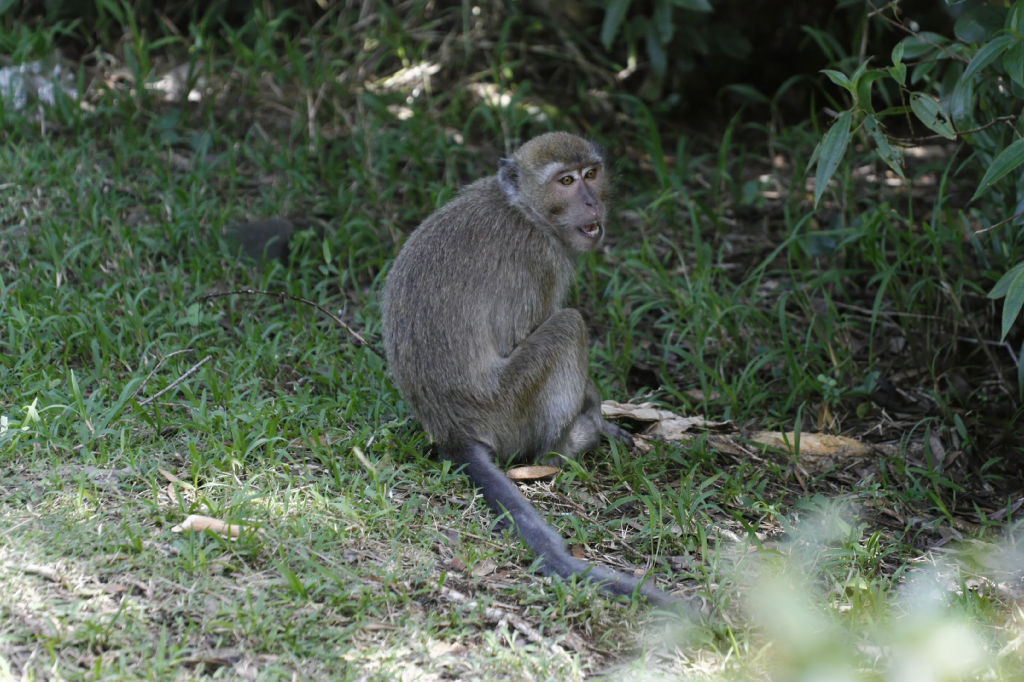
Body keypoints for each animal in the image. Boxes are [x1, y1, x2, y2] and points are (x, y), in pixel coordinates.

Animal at [385, 129, 679, 606]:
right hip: (507, 407)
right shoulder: (541, 259)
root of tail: (452, 431)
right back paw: (568, 444)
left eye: (591, 174)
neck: (524, 211)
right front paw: (595, 407)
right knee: (568, 326)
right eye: (565, 181)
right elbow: (522, 335)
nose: (592, 202)